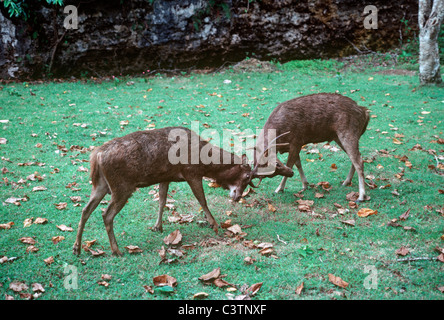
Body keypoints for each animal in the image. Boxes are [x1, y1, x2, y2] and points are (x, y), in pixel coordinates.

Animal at [71, 126, 286, 256]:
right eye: (247, 177)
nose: (238, 196)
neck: (205, 161)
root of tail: (97, 155)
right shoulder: (192, 172)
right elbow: (202, 200)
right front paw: (215, 225)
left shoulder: (165, 177)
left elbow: (162, 200)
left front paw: (158, 226)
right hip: (121, 186)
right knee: (106, 214)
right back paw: (116, 250)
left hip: (100, 184)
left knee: (85, 209)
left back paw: (77, 248)